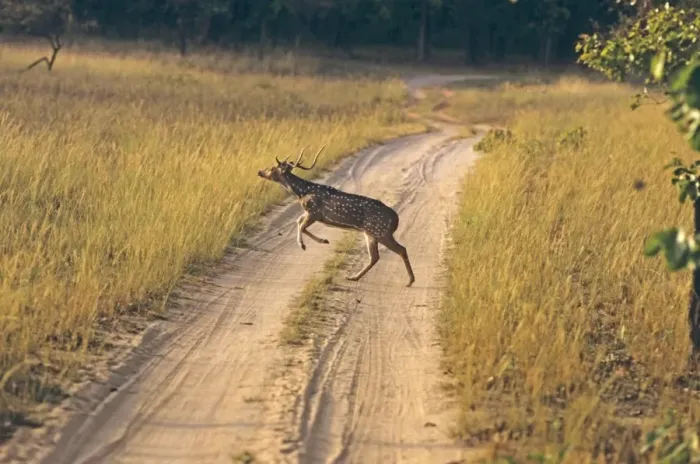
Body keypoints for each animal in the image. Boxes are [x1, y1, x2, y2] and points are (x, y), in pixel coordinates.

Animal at [257, 146, 416, 287]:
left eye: (272, 169)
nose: (259, 171)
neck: (301, 193)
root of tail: (395, 219)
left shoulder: (314, 212)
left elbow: (301, 226)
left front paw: (304, 245)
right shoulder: (310, 213)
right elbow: (298, 222)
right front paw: (323, 240)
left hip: (381, 232)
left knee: (401, 249)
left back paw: (409, 281)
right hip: (371, 233)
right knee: (375, 257)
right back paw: (353, 277)